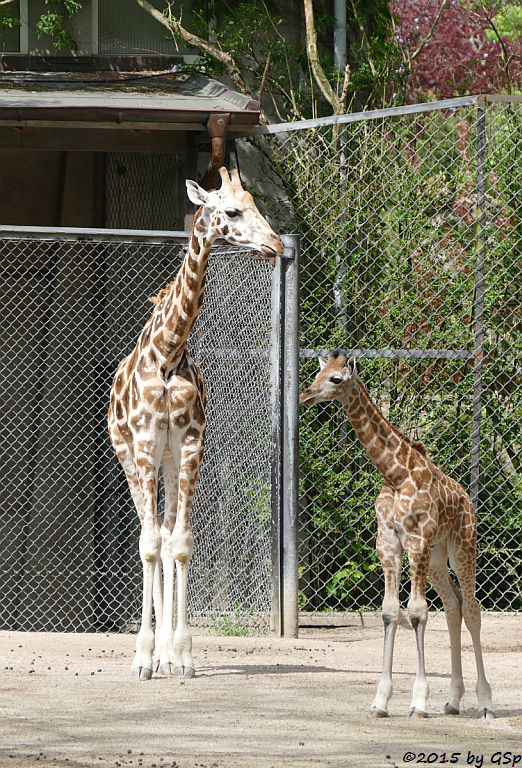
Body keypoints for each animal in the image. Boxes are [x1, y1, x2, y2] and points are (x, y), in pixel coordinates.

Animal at [107, 166, 282, 680]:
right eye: (232, 211)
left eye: (257, 204)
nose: (275, 245)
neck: (168, 351)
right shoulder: (146, 442)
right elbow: (147, 544)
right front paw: (143, 657)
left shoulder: (188, 444)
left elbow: (179, 543)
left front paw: (181, 655)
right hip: (130, 457)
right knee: (149, 536)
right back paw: (150, 654)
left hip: (166, 460)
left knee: (165, 537)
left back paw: (166, 654)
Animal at [298, 352, 494, 720]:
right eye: (317, 373)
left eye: (335, 379)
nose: (306, 394)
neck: (395, 473)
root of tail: (465, 497)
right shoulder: (387, 542)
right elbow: (390, 611)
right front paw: (380, 701)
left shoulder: (416, 539)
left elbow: (417, 611)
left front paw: (418, 702)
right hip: (437, 558)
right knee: (454, 606)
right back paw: (453, 700)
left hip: (463, 546)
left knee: (473, 609)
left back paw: (486, 702)